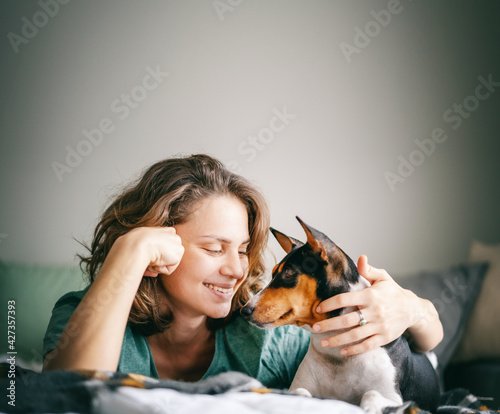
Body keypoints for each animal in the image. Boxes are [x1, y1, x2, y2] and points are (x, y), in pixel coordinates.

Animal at [240, 218, 440, 412]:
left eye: (288, 273)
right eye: (273, 273)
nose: (244, 311)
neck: (336, 356)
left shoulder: (393, 397)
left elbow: (371, 394)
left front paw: (370, 408)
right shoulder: (296, 387)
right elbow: (300, 392)